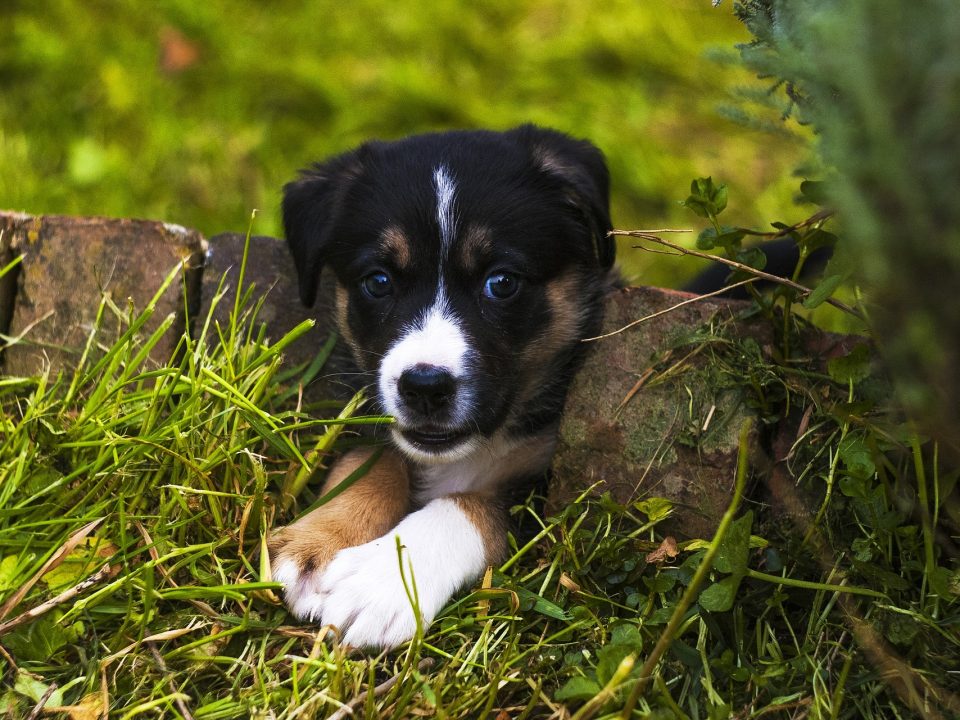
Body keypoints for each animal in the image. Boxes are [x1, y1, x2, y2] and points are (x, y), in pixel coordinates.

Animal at [270, 126, 616, 648]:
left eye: (502, 282)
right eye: (378, 281)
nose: (425, 387)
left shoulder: (551, 493)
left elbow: (468, 504)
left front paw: (382, 583)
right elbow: (372, 461)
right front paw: (320, 543)